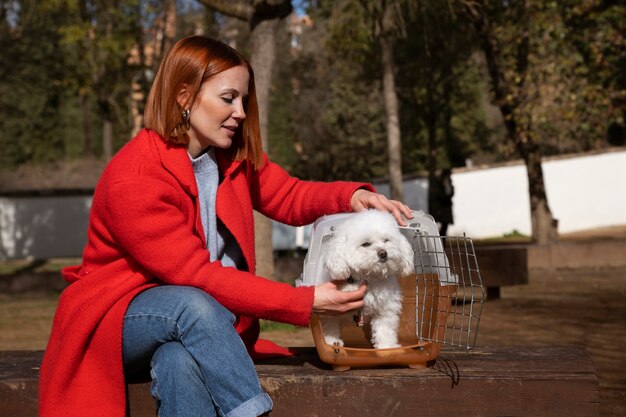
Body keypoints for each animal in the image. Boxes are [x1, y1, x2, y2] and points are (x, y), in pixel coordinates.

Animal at [322, 208, 414, 348]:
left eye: (386, 240)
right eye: (365, 244)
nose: (383, 253)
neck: (369, 277)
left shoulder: (385, 309)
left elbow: (384, 330)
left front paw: (387, 347)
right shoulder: (332, 309)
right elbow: (330, 324)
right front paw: (332, 341)